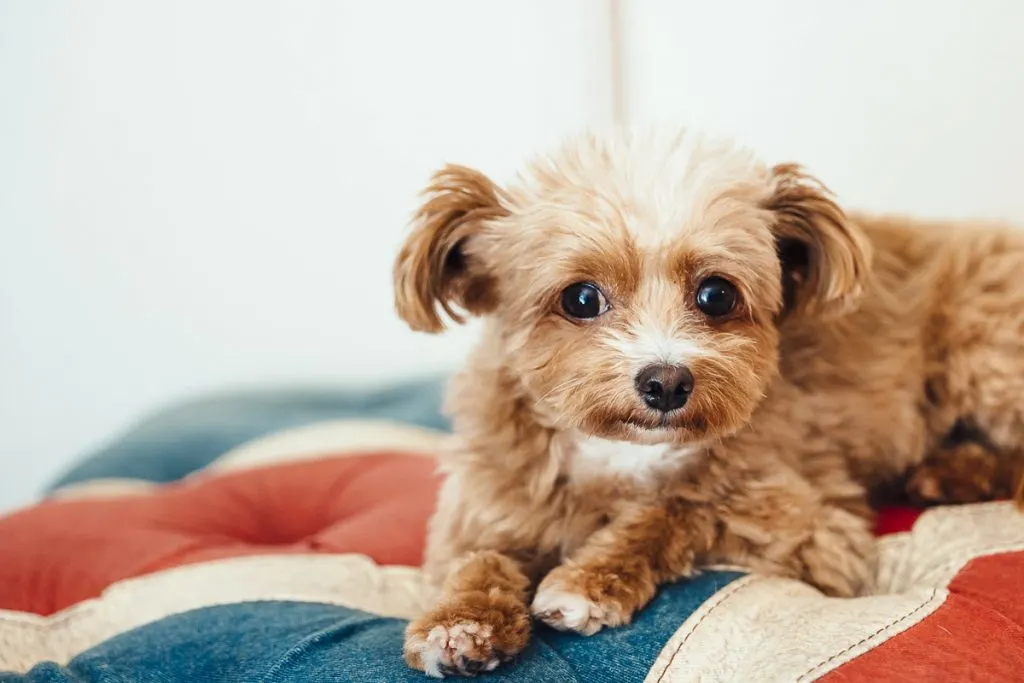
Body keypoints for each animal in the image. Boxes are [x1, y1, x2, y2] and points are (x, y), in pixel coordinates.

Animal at [391, 127, 1024, 679]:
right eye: (581, 298)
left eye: (716, 294)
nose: (667, 382)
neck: (621, 451)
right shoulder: (480, 509)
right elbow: (476, 560)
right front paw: (458, 623)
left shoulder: (814, 527)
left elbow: (676, 509)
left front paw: (587, 581)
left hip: (982, 348)